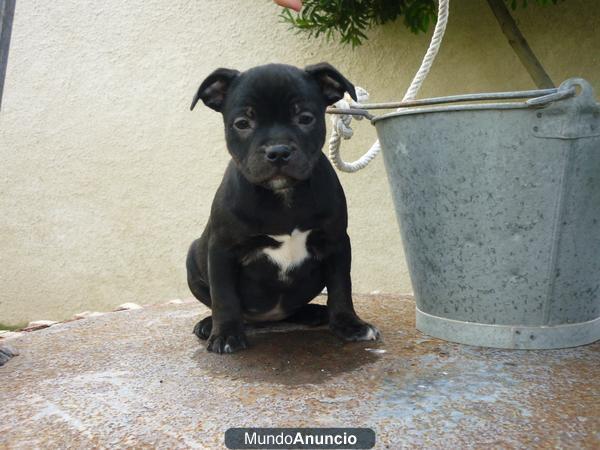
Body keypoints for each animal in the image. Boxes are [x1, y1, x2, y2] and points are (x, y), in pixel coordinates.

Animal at [189, 63, 380, 354]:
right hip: (192, 258)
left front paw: (349, 324)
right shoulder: (222, 249)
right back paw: (209, 324)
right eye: (242, 124)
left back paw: (314, 312)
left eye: (305, 118)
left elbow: (341, 287)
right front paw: (226, 334)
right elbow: (223, 295)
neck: (283, 195)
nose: (278, 151)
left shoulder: (336, 242)